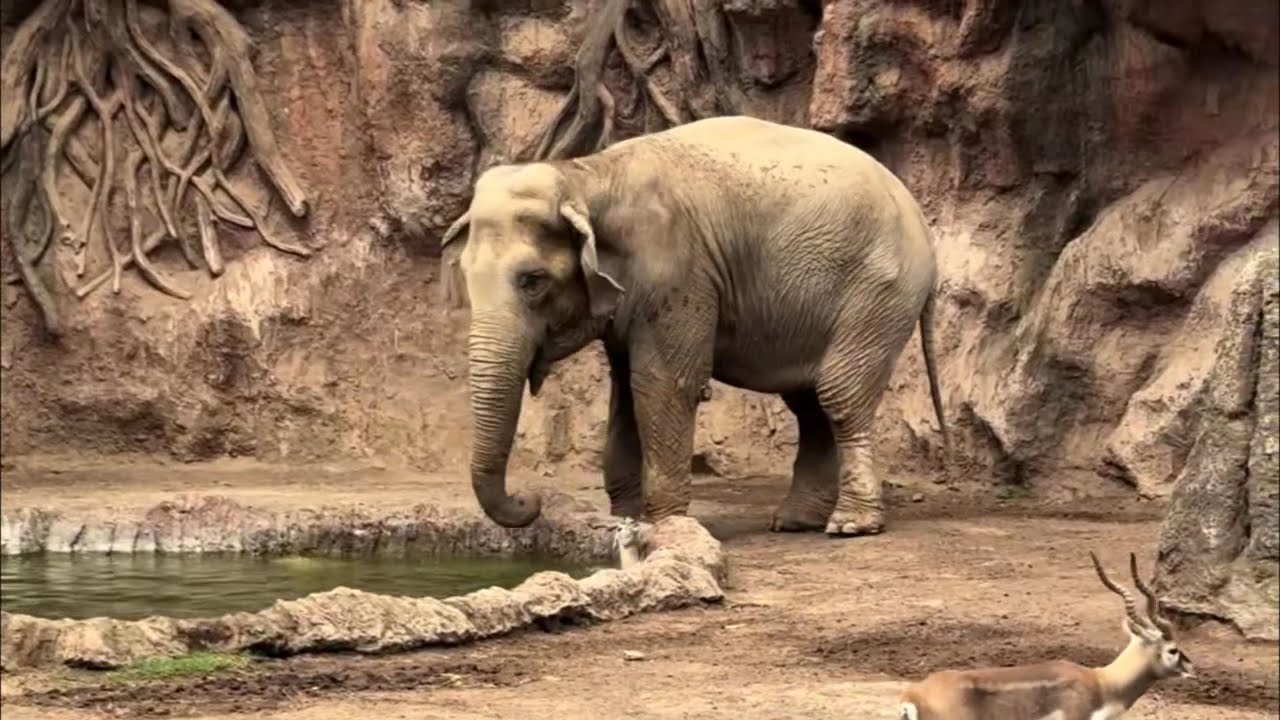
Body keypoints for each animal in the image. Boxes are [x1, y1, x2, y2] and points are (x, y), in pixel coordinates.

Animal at [440, 115, 947, 537]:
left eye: (533, 281)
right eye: (462, 274)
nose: (532, 501)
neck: (586, 174)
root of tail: (921, 219)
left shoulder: (679, 270)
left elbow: (663, 384)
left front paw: (665, 527)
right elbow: (625, 393)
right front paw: (625, 523)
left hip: (878, 291)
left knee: (839, 394)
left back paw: (850, 526)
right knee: (809, 402)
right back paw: (796, 522)